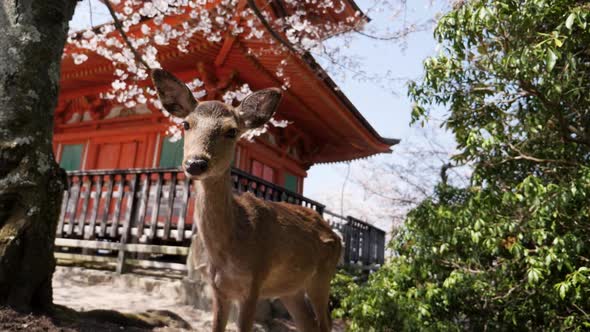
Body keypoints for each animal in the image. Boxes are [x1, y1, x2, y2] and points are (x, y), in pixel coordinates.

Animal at [153, 68, 344, 332]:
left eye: (232, 130)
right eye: (186, 124)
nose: (195, 163)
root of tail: (335, 235)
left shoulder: (254, 281)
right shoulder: (217, 289)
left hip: (323, 276)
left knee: (325, 322)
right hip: (290, 289)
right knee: (308, 323)